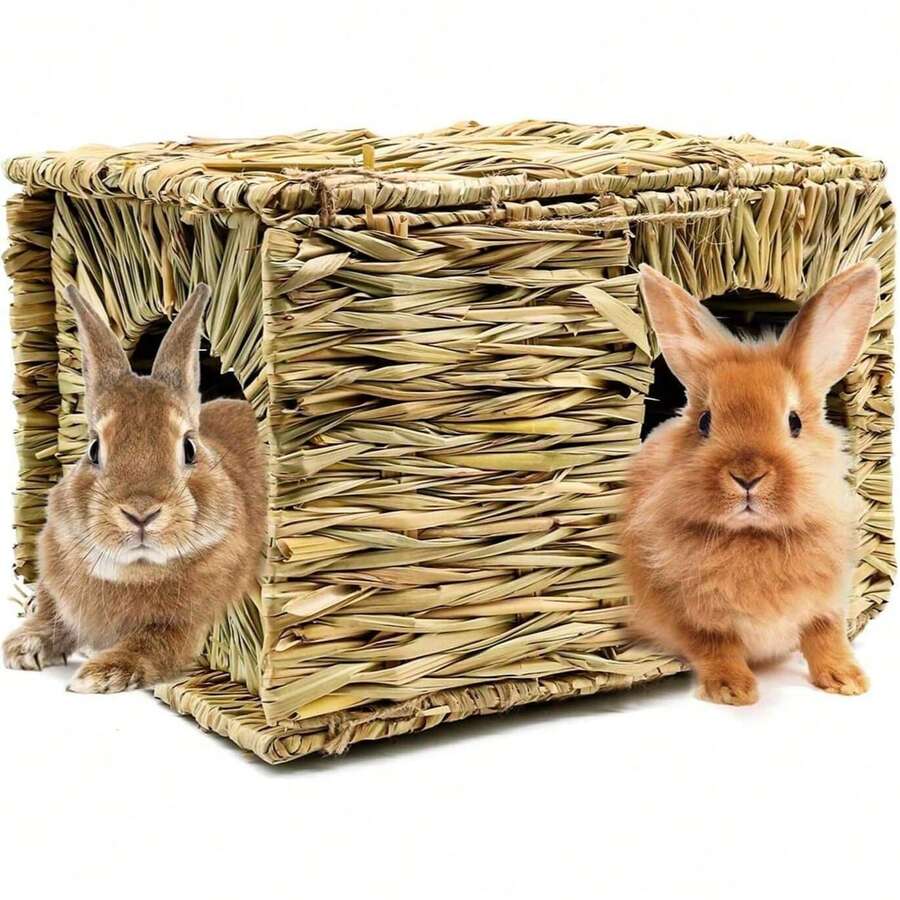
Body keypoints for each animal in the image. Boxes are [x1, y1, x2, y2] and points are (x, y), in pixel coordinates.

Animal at [2, 284, 267, 693]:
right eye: (94, 449)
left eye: (189, 448)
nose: (141, 513)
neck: (134, 570)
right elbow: (52, 614)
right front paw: (22, 647)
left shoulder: (183, 626)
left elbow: (150, 645)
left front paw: (98, 675)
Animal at [622, 261, 880, 705]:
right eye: (705, 422)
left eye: (794, 422)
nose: (747, 475)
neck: (754, 536)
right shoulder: (689, 615)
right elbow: (715, 645)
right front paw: (733, 690)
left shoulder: (826, 604)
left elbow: (826, 636)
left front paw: (847, 680)